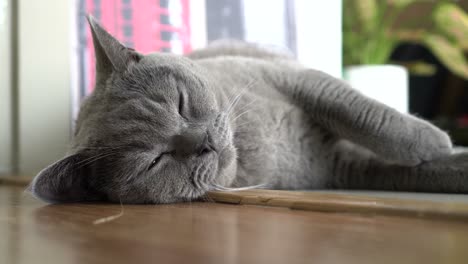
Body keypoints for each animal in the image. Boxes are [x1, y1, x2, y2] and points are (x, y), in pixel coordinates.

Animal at [29, 15, 468, 203]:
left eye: (181, 102)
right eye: (155, 161)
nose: (202, 140)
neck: (260, 144)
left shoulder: (297, 78)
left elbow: (362, 112)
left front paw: (433, 142)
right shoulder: (345, 167)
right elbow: (408, 171)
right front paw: (445, 153)